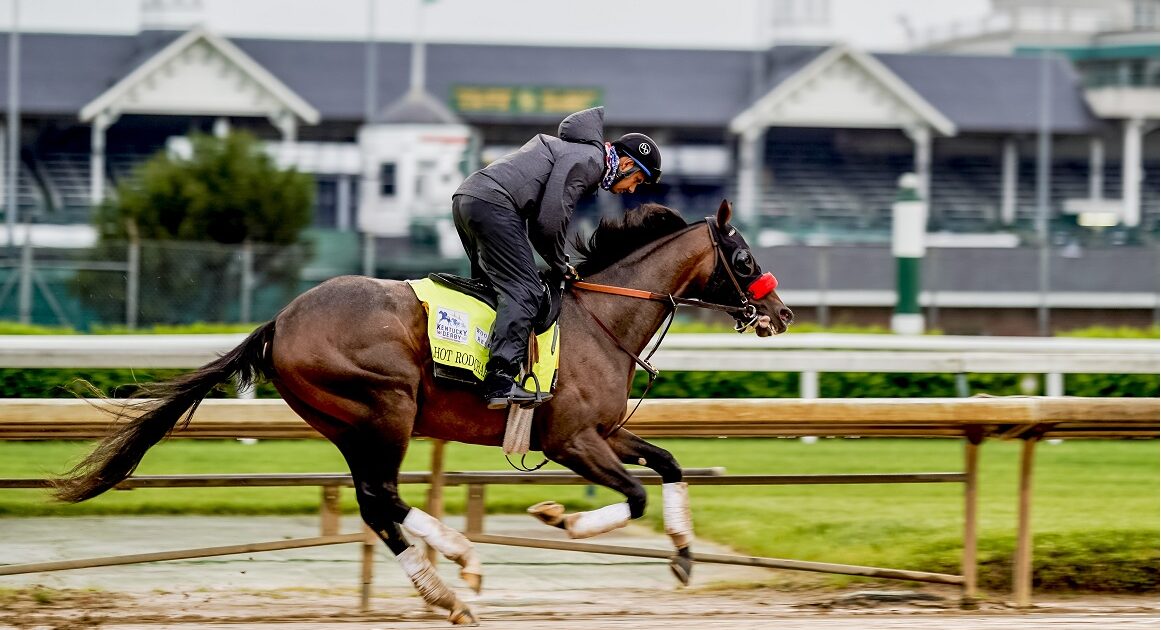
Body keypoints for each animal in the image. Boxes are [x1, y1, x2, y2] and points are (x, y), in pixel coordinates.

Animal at [56, 199, 798, 621]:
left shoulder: (604, 432)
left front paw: (683, 553)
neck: (601, 320)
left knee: (373, 502)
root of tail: (281, 320)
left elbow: (668, 464)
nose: (782, 315)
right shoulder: (569, 440)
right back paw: (461, 563)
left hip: (349, 423)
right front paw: (558, 517)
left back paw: (446, 592)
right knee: (382, 496)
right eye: (741, 256)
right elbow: (634, 495)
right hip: (386, 405)